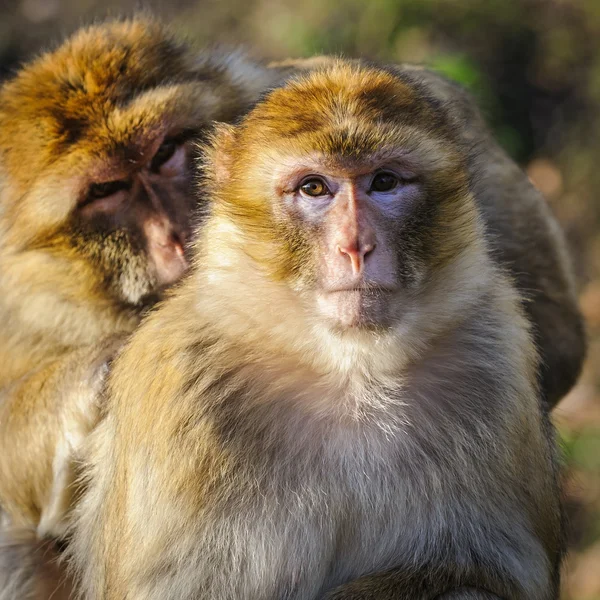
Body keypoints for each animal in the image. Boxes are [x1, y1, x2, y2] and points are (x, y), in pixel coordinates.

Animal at [70, 59, 564, 600]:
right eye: (314, 188)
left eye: (384, 182)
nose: (356, 245)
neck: (351, 371)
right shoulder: (177, 388)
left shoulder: (496, 355)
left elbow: (487, 576)